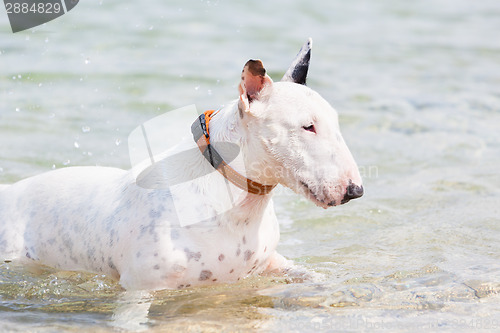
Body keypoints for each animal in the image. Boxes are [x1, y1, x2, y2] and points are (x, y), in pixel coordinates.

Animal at [0, 38, 362, 288]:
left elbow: (309, 274)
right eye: (308, 126)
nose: (355, 190)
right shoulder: (140, 287)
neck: (238, 203)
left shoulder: (268, 262)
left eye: (335, 123)